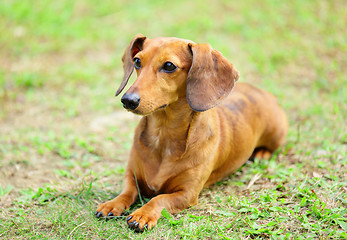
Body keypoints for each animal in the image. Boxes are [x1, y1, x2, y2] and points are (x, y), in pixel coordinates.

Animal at [95, 33, 288, 231]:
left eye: (169, 66)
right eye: (137, 61)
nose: (128, 100)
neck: (162, 136)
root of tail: (262, 91)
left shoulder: (186, 194)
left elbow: (159, 199)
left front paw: (143, 214)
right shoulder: (131, 176)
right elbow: (127, 191)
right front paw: (112, 203)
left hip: (276, 135)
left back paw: (262, 153)